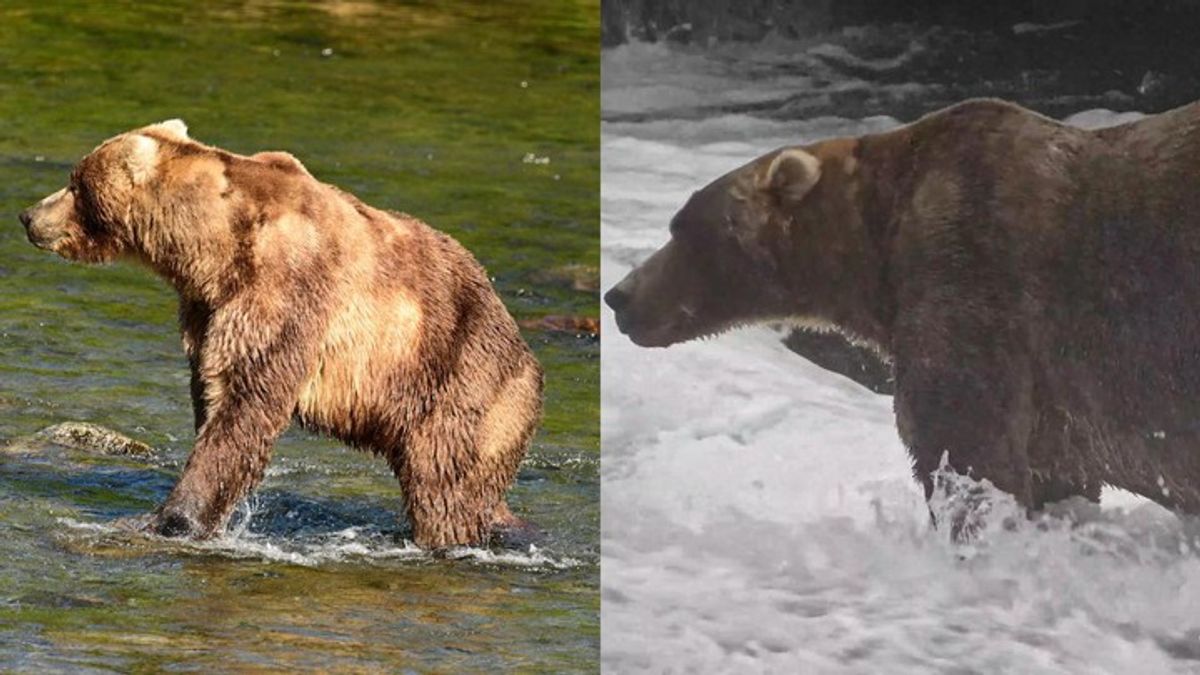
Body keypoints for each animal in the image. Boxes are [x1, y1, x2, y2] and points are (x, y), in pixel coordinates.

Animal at [19, 120, 544, 549]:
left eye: (74, 183)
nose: (27, 215)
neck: (208, 252)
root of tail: (527, 356)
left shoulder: (284, 291)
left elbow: (247, 403)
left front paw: (171, 519)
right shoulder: (208, 310)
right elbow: (213, 391)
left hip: (457, 378)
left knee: (443, 481)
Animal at [605, 98, 1200, 520]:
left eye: (682, 229)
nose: (620, 296)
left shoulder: (972, 281)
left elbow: (964, 446)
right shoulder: (1056, 401)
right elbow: (1057, 474)